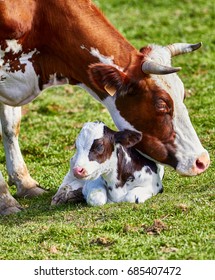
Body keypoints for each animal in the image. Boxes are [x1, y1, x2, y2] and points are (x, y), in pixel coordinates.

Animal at [0, 0, 210, 214]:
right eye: (161, 103)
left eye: (183, 94)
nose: (201, 160)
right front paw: (5, 201)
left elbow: (10, 127)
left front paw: (25, 183)